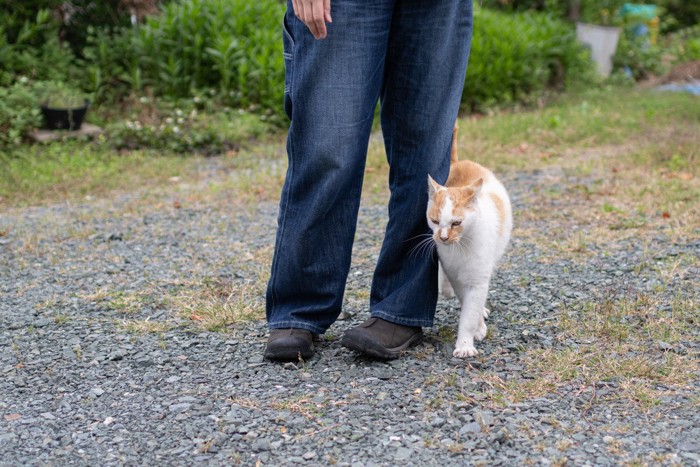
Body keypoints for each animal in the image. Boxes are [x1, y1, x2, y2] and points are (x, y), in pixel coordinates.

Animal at [424, 126, 512, 360]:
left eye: (457, 223)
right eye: (435, 221)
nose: (443, 237)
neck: (460, 247)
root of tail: (458, 162)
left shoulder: (477, 279)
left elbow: (469, 313)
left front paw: (465, 343)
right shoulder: (455, 275)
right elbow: (465, 303)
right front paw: (477, 328)